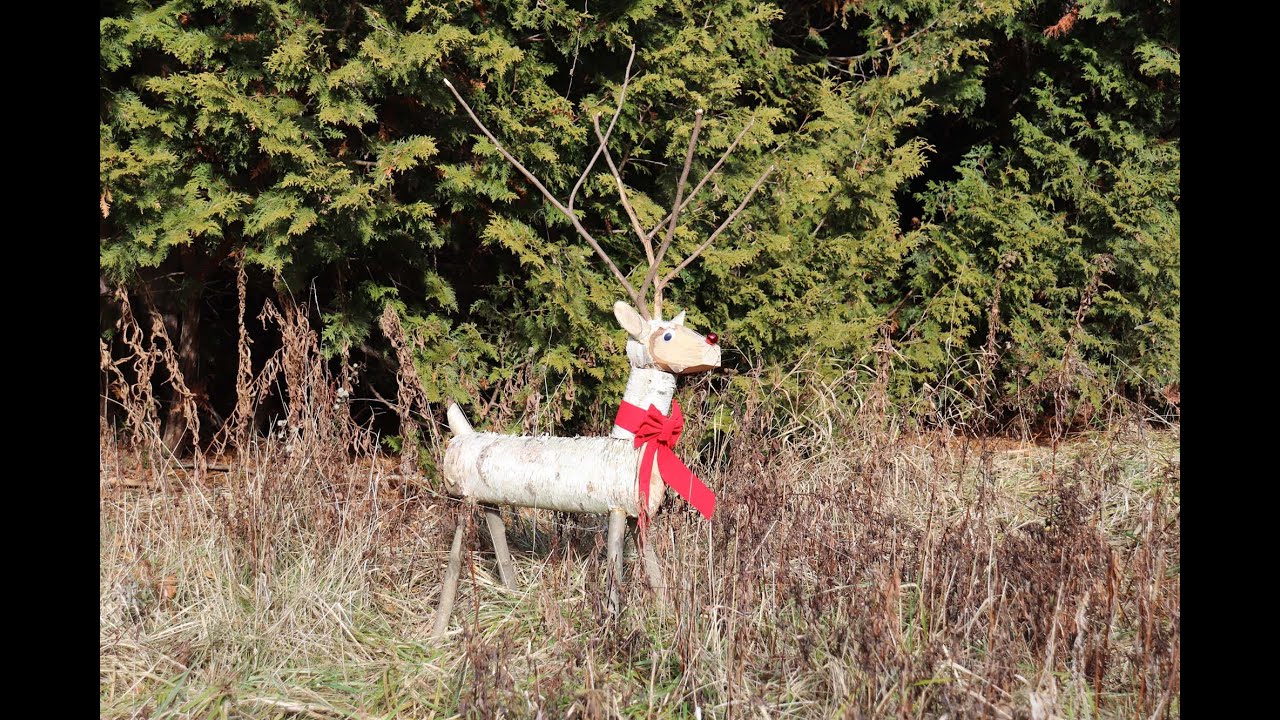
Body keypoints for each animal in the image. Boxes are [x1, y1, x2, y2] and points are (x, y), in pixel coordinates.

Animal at [431, 48, 774, 637]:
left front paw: (665, 620)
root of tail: (464, 433)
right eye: (666, 332)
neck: (637, 445)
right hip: (465, 499)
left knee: (497, 532)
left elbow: (654, 574)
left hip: (489, 497)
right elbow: (614, 574)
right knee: (455, 558)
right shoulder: (614, 510)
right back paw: (437, 631)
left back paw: (513, 596)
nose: (714, 347)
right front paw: (614, 634)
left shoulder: (639, 516)